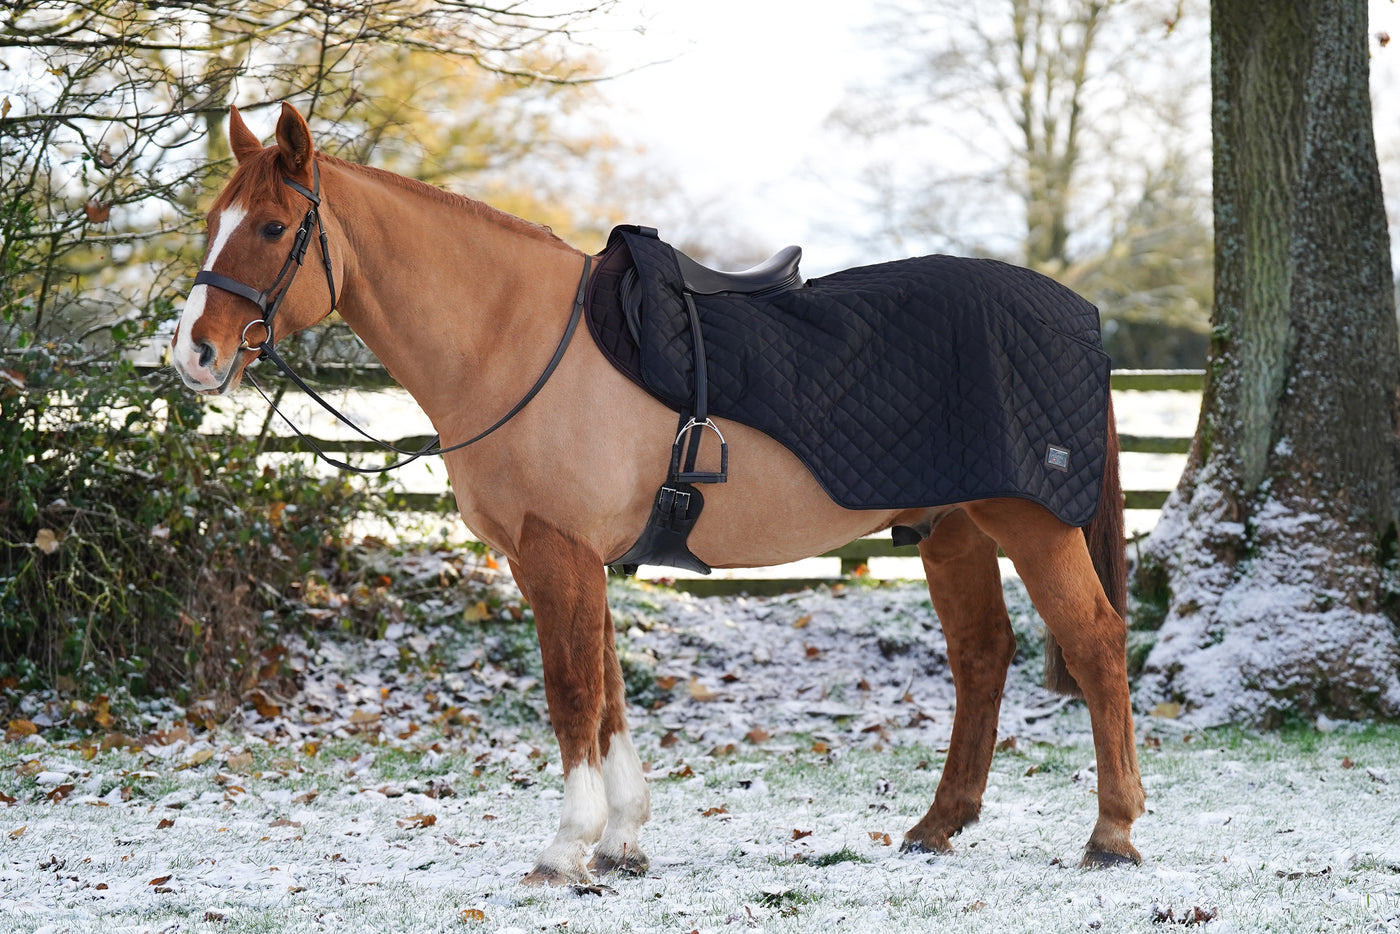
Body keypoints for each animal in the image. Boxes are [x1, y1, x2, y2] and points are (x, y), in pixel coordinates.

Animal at [171, 102, 1144, 883]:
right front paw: (622, 841)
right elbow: (607, 691)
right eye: (214, 219)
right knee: (983, 656)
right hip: (952, 532)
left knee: (1096, 645)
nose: (194, 354)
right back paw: (937, 826)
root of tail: (1079, 316)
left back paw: (1112, 833)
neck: (515, 341)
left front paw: (566, 848)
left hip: (1033, 527)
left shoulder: (557, 554)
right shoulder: (573, 559)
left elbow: (571, 689)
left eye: (269, 227)